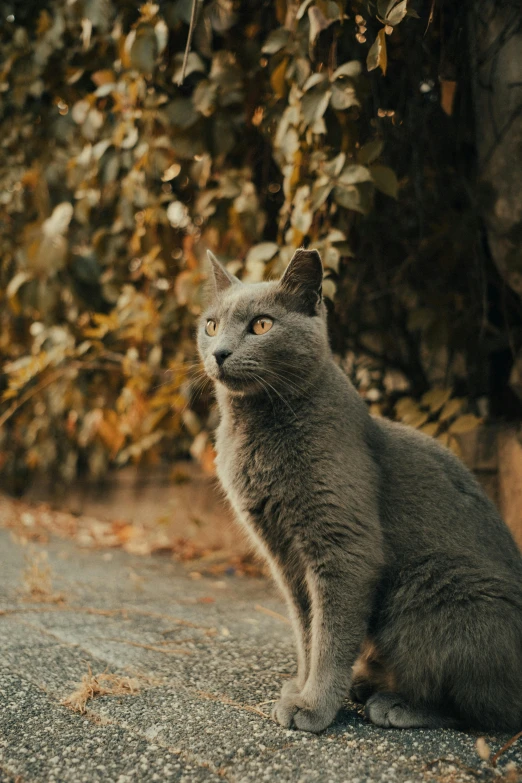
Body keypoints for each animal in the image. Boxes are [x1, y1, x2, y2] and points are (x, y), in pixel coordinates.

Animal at [196, 248, 520, 732]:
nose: (219, 352)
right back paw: (369, 683)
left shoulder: (344, 545)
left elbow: (332, 634)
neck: (254, 427)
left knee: (484, 707)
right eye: (212, 325)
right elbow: (306, 629)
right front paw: (301, 685)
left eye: (262, 325)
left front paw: (314, 705)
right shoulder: (284, 556)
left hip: (434, 589)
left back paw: (396, 702)